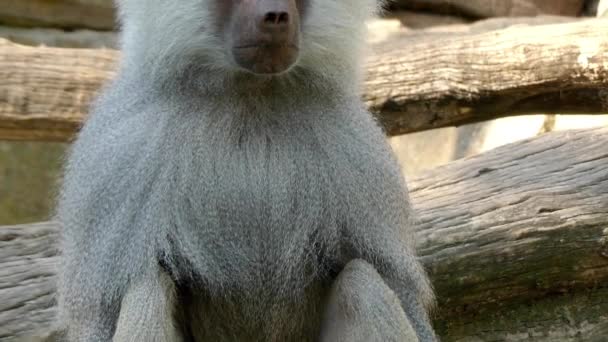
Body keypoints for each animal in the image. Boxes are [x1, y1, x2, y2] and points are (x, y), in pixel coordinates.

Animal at [55, 0, 436, 340]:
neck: (249, 96)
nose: (276, 16)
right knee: (146, 290)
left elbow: (398, 286)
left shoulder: (356, 153)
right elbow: (103, 308)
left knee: (363, 282)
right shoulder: (122, 153)